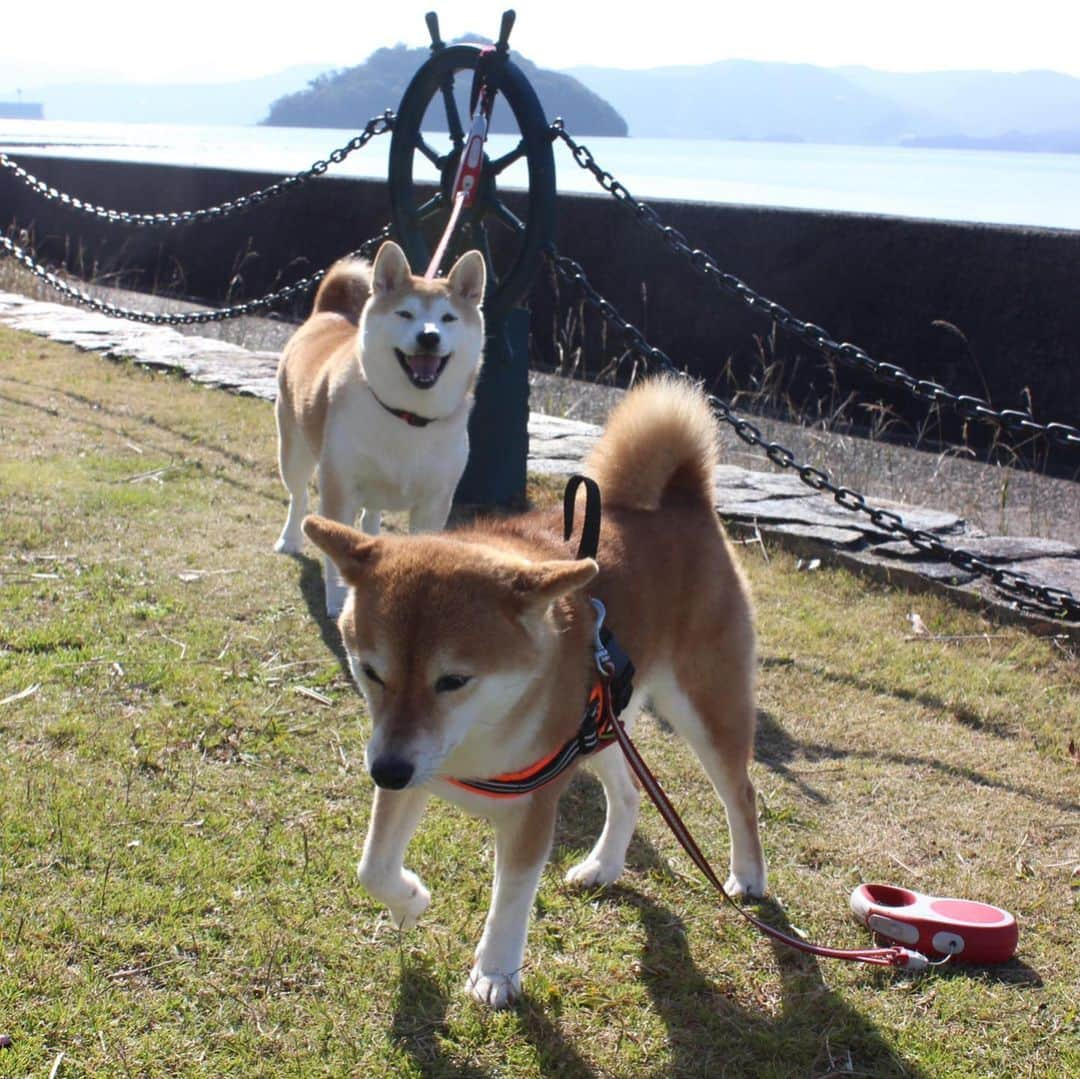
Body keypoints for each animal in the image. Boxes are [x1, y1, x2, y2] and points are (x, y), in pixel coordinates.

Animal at [274, 244, 486, 617]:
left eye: (448, 318)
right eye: (405, 314)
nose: (429, 336)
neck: (406, 417)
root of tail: (326, 313)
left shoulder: (434, 503)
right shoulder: (340, 488)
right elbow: (336, 553)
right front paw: (339, 600)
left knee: (371, 516)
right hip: (294, 453)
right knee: (298, 497)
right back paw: (289, 539)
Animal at [300, 375, 764, 1006]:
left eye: (453, 680)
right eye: (371, 672)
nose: (386, 771)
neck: (480, 736)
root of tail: (683, 500)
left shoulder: (532, 810)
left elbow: (512, 895)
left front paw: (496, 971)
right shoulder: (409, 766)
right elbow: (372, 867)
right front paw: (412, 901)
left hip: (704, 708)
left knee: (741, 793)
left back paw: (747, 877)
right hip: (600, 722)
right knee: (629, 794)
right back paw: (603, 866)